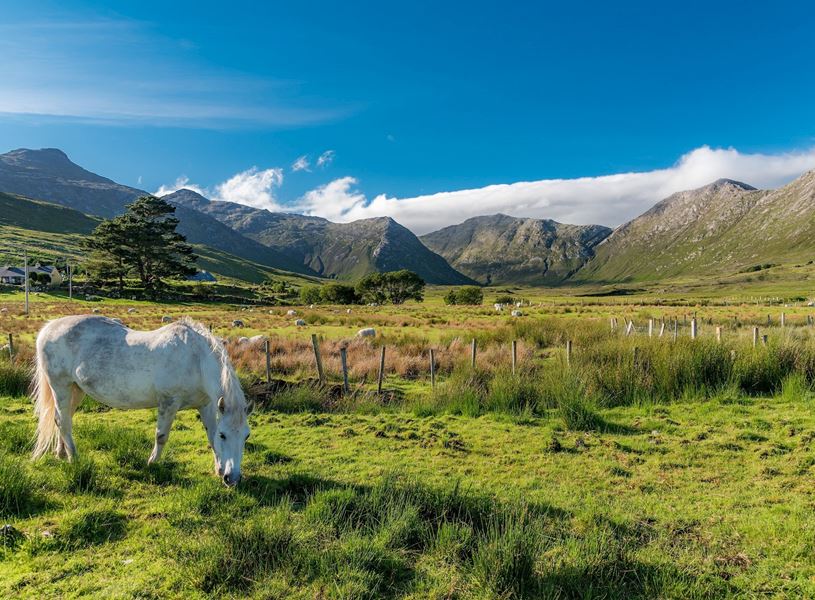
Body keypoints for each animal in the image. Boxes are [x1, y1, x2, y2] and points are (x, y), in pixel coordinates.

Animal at [31, 315, 253, 486]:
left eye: (246, 436)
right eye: (225, 435)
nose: (232, 478)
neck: (196, 360)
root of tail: (48, 328)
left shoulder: (206, 405)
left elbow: (210, 436)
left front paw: (218, 468)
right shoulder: (168, 403)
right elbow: (161, 436)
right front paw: (152, 464)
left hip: (75, 389)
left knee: (63, 419)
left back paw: (62, 453)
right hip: (60, 386)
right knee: (62, 421)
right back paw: (74, 458)